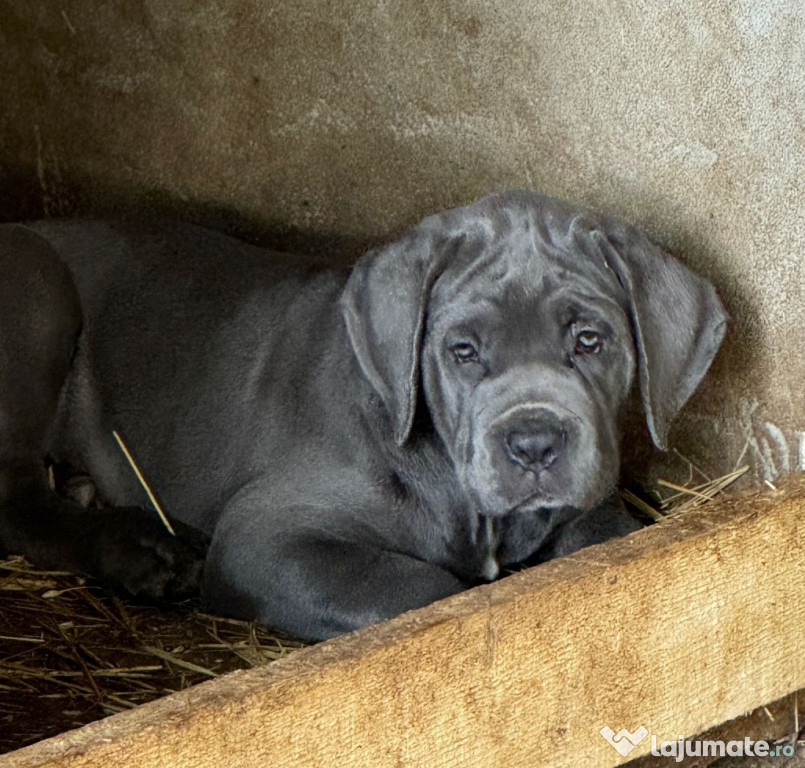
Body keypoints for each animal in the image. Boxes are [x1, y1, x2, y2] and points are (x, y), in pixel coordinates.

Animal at [0, 189, 724, 640]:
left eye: (589, 341)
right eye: (462, 351)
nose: (534, 444)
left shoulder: (587, 508)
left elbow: (608, 536)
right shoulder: (263, 537)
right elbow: (425, 589)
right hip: (36, 291)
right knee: (18, 503)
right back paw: (139, 551)